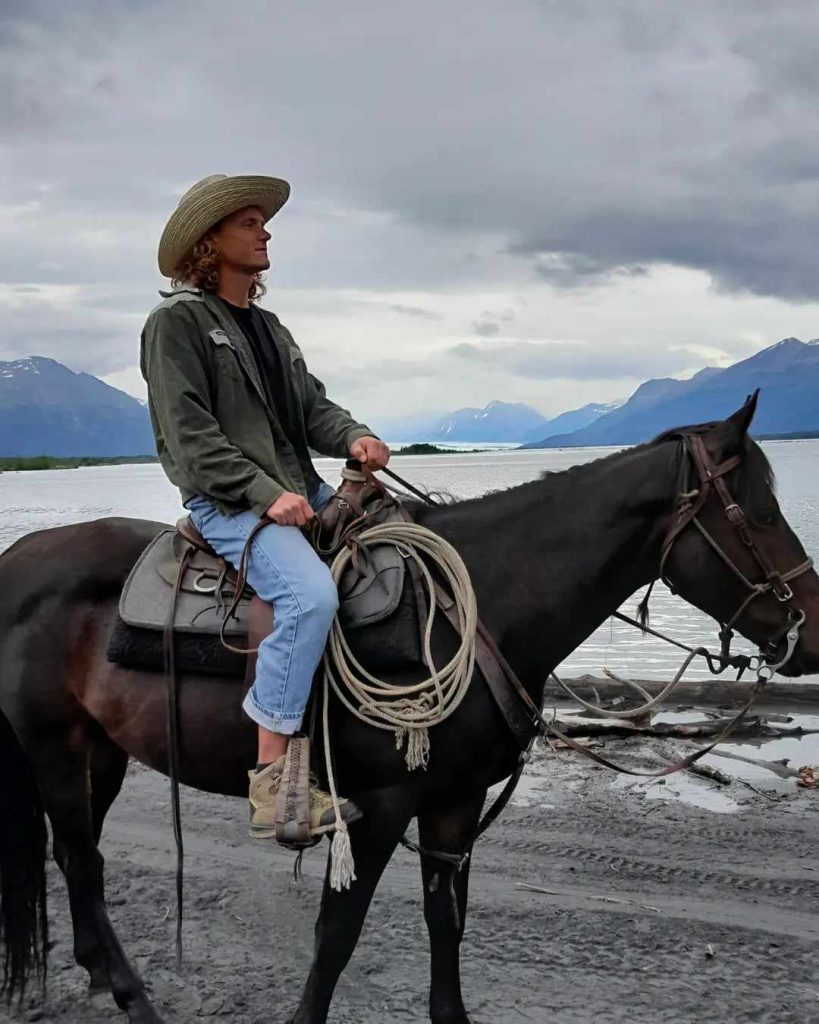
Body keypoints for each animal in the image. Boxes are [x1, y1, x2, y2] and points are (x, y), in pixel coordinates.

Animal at [4, 399, 818, 1024]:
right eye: (757, 509)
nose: (808, 632)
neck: (478, 606)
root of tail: (15, 561)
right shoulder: (381, 805)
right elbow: (337, 936)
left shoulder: (455, 801)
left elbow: (444, 923)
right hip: (51, 747)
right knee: (80, 860)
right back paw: (134, 997)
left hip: (102, 752)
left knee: (81, 861)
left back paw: (106, 980)